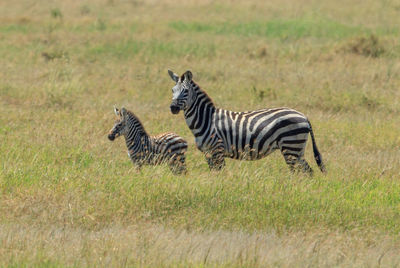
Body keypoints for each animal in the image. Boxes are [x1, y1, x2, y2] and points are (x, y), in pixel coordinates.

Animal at [167, 69, 326, 175]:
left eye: (186, 91)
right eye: (173, 90)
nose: (173, 108)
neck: (206, 120)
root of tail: (303, 116)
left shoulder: (217, 151)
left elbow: (220, 175)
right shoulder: (208, 154)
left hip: (291, 147)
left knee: (302, 172)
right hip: (296, 150)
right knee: (307, 172)